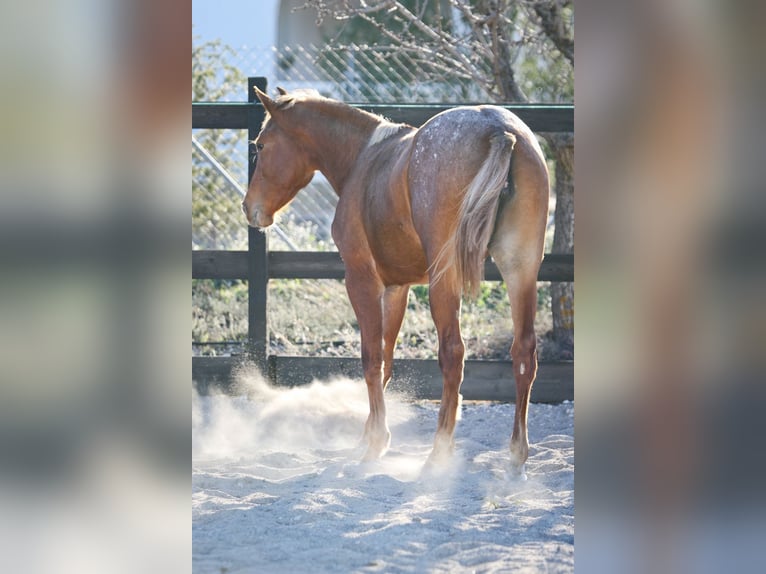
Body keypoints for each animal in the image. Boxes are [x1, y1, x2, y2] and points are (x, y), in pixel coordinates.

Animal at [243, 88, 548, 474]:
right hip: (521, 269)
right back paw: (517, 454)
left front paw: (375, 442)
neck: (364, 159)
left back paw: (439, 451)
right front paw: (369, 434)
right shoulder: (397, 288)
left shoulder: (361, 279)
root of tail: (499, 130)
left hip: (446, 279)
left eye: (261, 145)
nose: (249, 207)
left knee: (453, 352)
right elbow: (387, 360)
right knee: (524, 352)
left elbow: (371, 358)